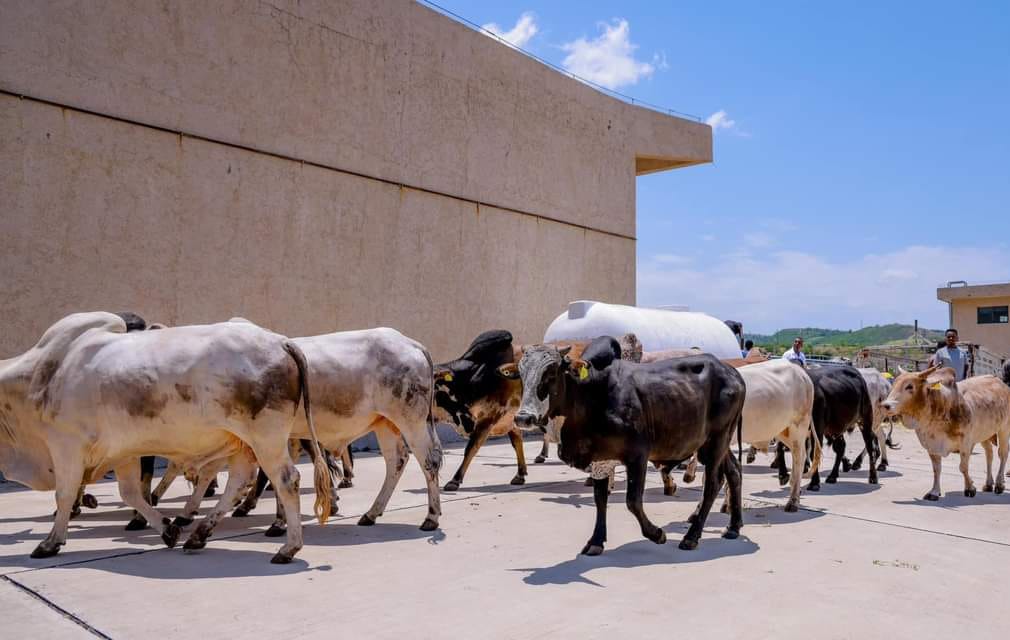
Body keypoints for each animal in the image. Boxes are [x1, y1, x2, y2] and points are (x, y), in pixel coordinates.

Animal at [0, 312, 333, 563]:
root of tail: (281, 342)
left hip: (266, 437)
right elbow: (131, 493)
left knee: (286, 480)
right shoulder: (123, 452)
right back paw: (199, 534)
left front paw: (50, 542)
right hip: (243, 442)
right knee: (239, 481)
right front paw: (165, 529)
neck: (44, 374)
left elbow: (65, 495)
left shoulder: (66, 446)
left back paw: (288, 547)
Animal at [499, 338, 746, 554]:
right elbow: (600, 500)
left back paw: (692, 536)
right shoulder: (600, 459)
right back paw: (733, 526)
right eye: (521, 374)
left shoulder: (638, 455)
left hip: (717, 441)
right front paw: (596, 541)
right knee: (734, 472)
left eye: (551, 372)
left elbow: (633, 501)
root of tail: (733, 372)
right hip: (717, 443)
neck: (589, 395)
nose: (524, 418)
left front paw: (657, 534)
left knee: (712, 484)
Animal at [882, 366, 1010, 500]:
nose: (886, 405)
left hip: (1004, 428)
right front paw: (934, 492)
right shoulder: (931, 445)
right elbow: (936, 469)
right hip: (984, 434)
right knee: (989, 454)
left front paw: (970, 488)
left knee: (1003, 454)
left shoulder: (965, 443)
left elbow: (963, 467)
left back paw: (999, 484)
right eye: (894, 383)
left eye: (910, 386)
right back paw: (989, 484)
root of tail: (1002, 384)